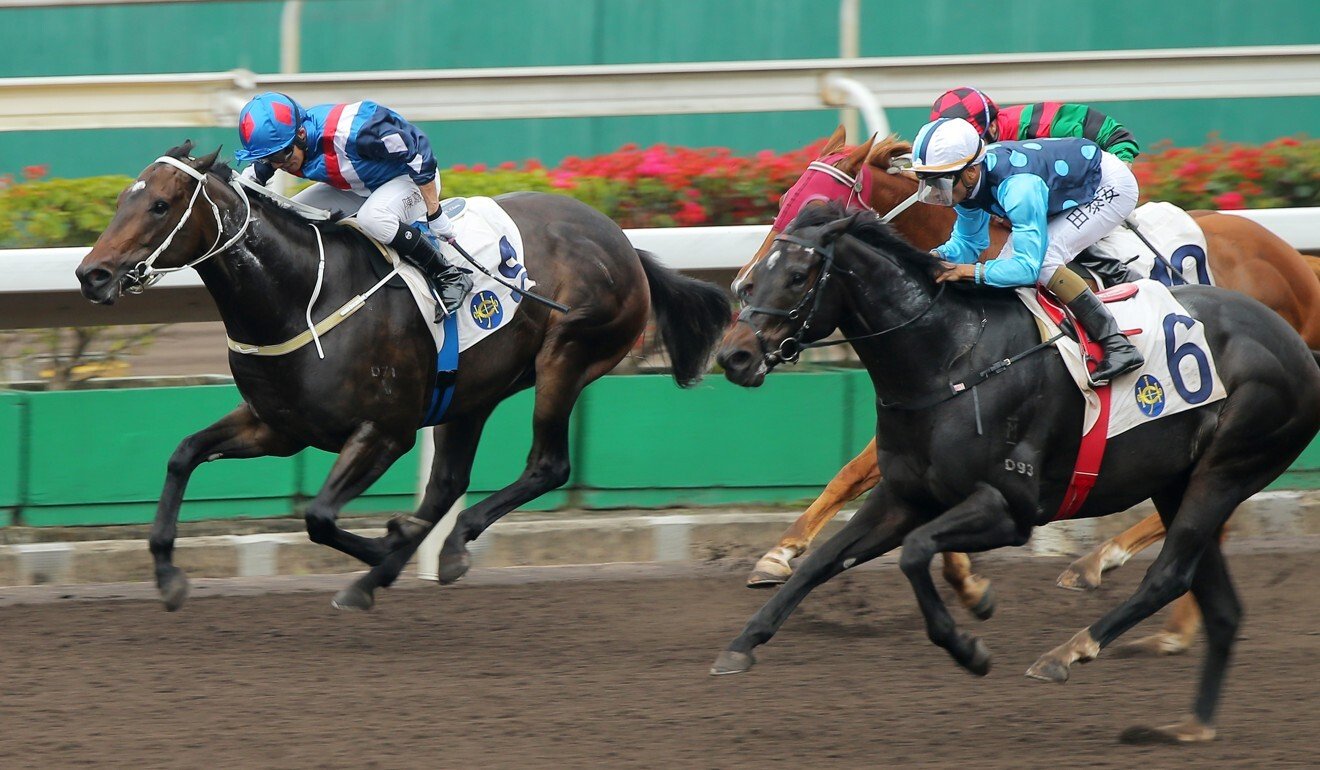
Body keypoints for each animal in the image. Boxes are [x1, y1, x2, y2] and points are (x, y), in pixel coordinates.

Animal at [74, 143, 733, 615]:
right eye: (122, 200)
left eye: (160, 206)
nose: (91, 274)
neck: (299, 295)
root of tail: (623, 241)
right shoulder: (277, 427)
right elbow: (184, 454)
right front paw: (167, 574)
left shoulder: (385, 431)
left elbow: (319, 516)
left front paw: (388, 539)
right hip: (470, 390)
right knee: (447, 482)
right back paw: (399, 568)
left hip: (566, 358)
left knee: (547, 465)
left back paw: (444, 547)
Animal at [712, 203, 1320, 739]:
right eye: (753, 281)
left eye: (797, 276)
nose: (733, 356)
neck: (952, 358)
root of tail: (1296, 344)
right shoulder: (904, 498)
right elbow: (823, 561)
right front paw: (742, 642)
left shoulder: (1010, 509)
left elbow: (915, 553)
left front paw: (967, 647)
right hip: (1179, 479)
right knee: (1220, 605)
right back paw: (1190, 725)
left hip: (1227, 467)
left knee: (1171, 573)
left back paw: (1070, 644)